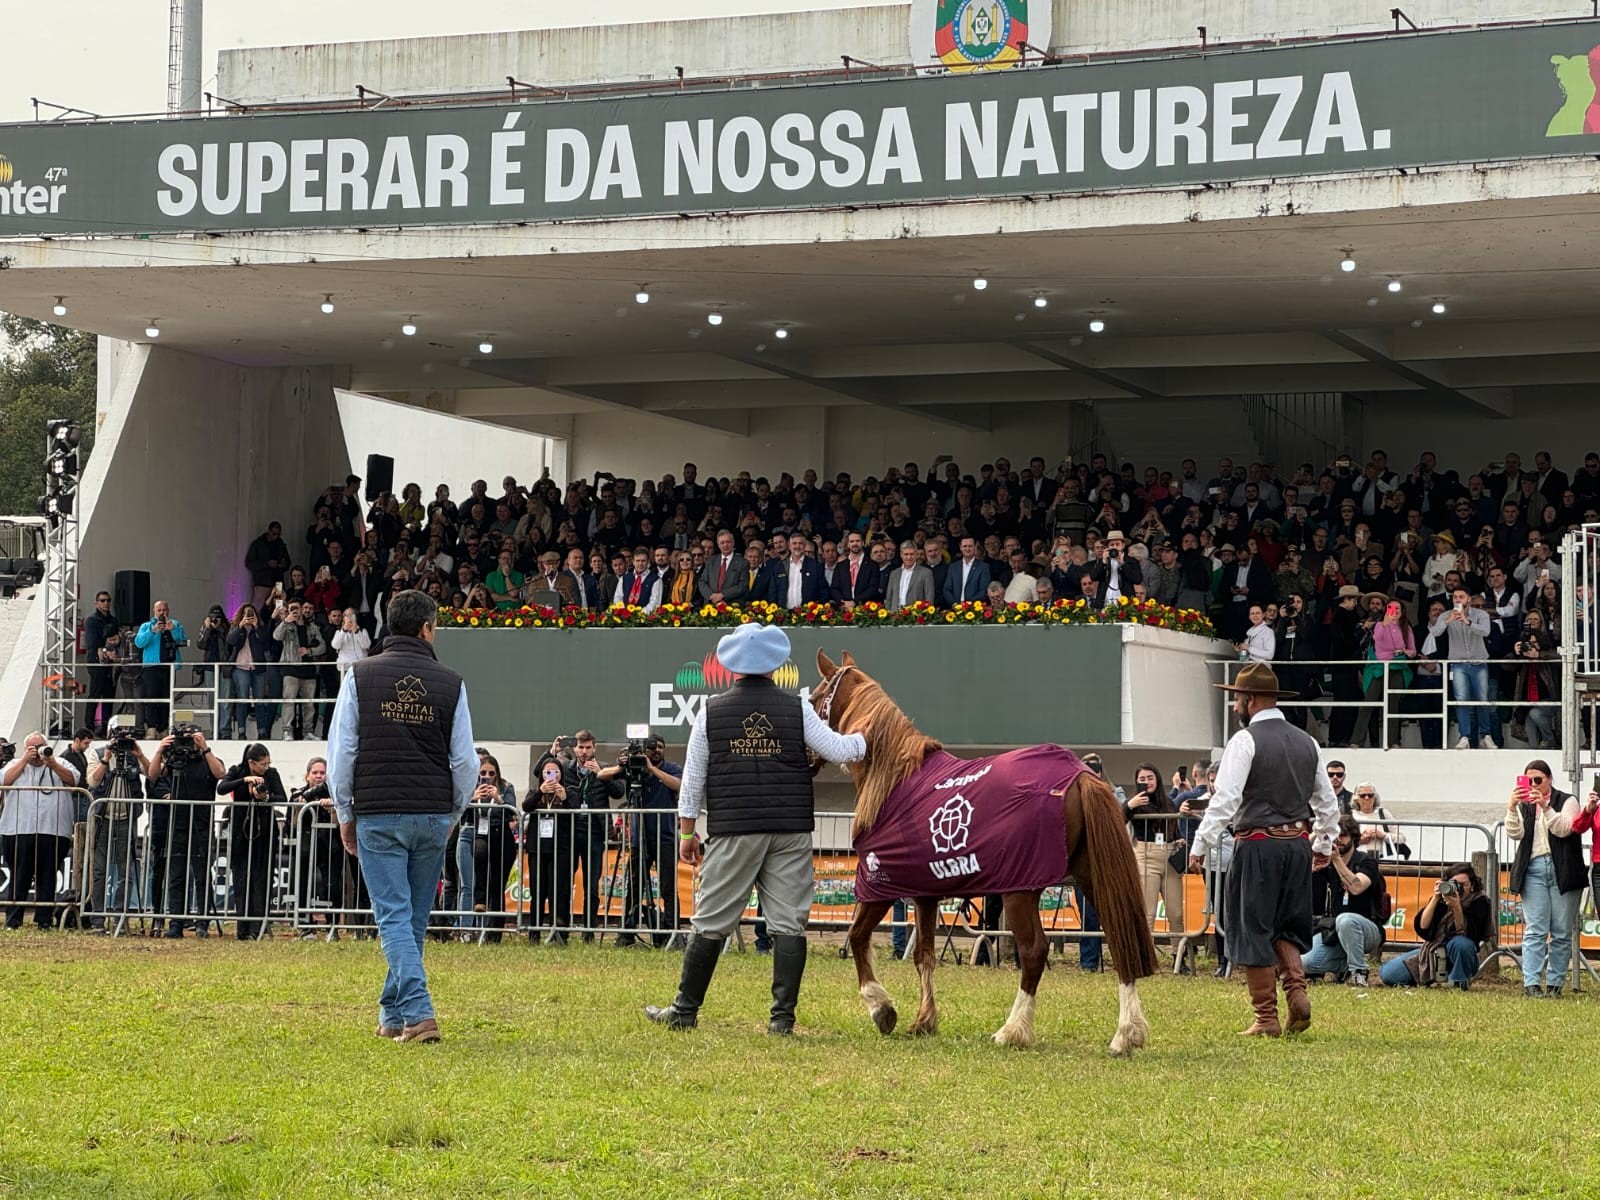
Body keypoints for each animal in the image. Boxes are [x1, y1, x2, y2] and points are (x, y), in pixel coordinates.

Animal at [819, 652, 1158, 1056]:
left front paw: (881, 1008)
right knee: (1122, 938)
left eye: (817, 696)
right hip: (1093, 875)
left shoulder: (880, 884)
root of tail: (1081, 776)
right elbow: (924, 955)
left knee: (1034, 951)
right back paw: (1126, 1033)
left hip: (1020, 890)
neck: (894, 779)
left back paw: (1013, 1030)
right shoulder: (925, 893)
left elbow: (857, 937)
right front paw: (924, 1020)